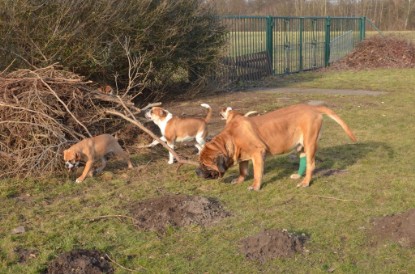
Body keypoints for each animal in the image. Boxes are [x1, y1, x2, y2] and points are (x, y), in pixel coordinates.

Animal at [196, 104, 358, 192]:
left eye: (205, 165)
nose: (197, 171)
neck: (230, 137)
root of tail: (313, 107)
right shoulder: (242, 155)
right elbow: (243, 170)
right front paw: (239, 180)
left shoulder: (258, 153)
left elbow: (257, 173)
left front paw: (255, 186)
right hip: (301, 146)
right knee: (303, 160)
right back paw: (298, 176)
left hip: (310, 142)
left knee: (311, 164)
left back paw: (305, 183)